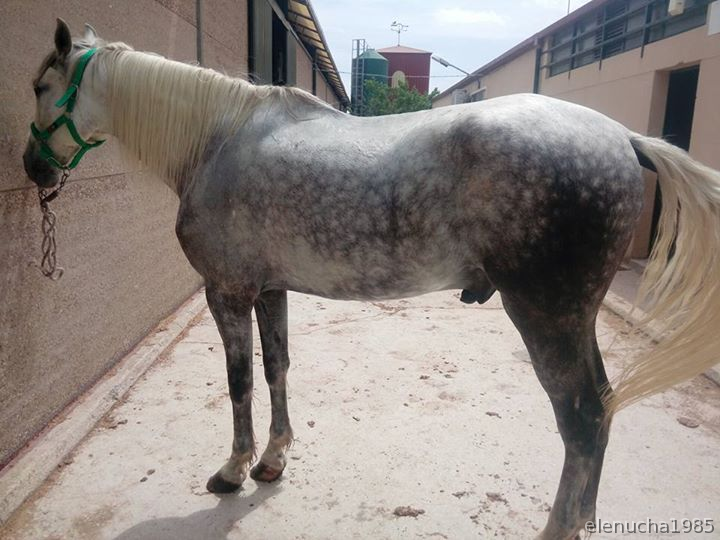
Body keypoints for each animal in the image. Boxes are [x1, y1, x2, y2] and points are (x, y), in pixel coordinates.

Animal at [23, 20, 720, 540]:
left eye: (39, 85)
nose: (32, 167)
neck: (217, 141)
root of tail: (622, 136)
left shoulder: (228, 291)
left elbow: (239, 380)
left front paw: (232, 469)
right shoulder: (270, 289)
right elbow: (277, 367)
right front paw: (273, 459)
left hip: (546, 313)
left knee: (580, 417)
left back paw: (557, 527)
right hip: (577, 316)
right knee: (602, 406)